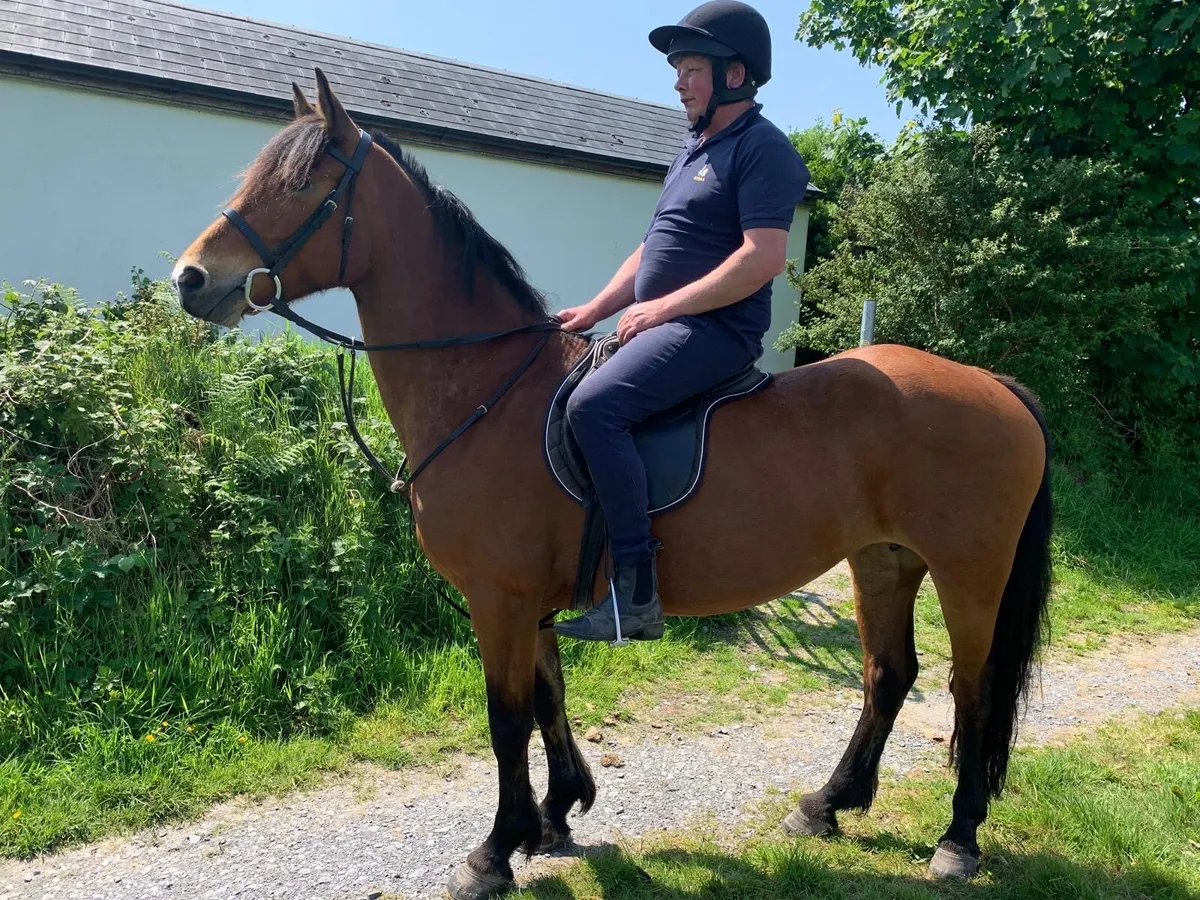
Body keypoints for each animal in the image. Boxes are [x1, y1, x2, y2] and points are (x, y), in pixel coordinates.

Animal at [172, 69, 1052, 899]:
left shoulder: (499, 597)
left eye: (302, 186)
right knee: (888, 675)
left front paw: (495, 852)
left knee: (970, 690)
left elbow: (506, 719)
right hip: (884, 561)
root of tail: (997, 386)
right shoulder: (529, 601)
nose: (190, 279)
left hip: (969, 573)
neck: (487, 387)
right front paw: (555, 814)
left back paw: (958, 840)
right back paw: (827, 804)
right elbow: (548, 698)